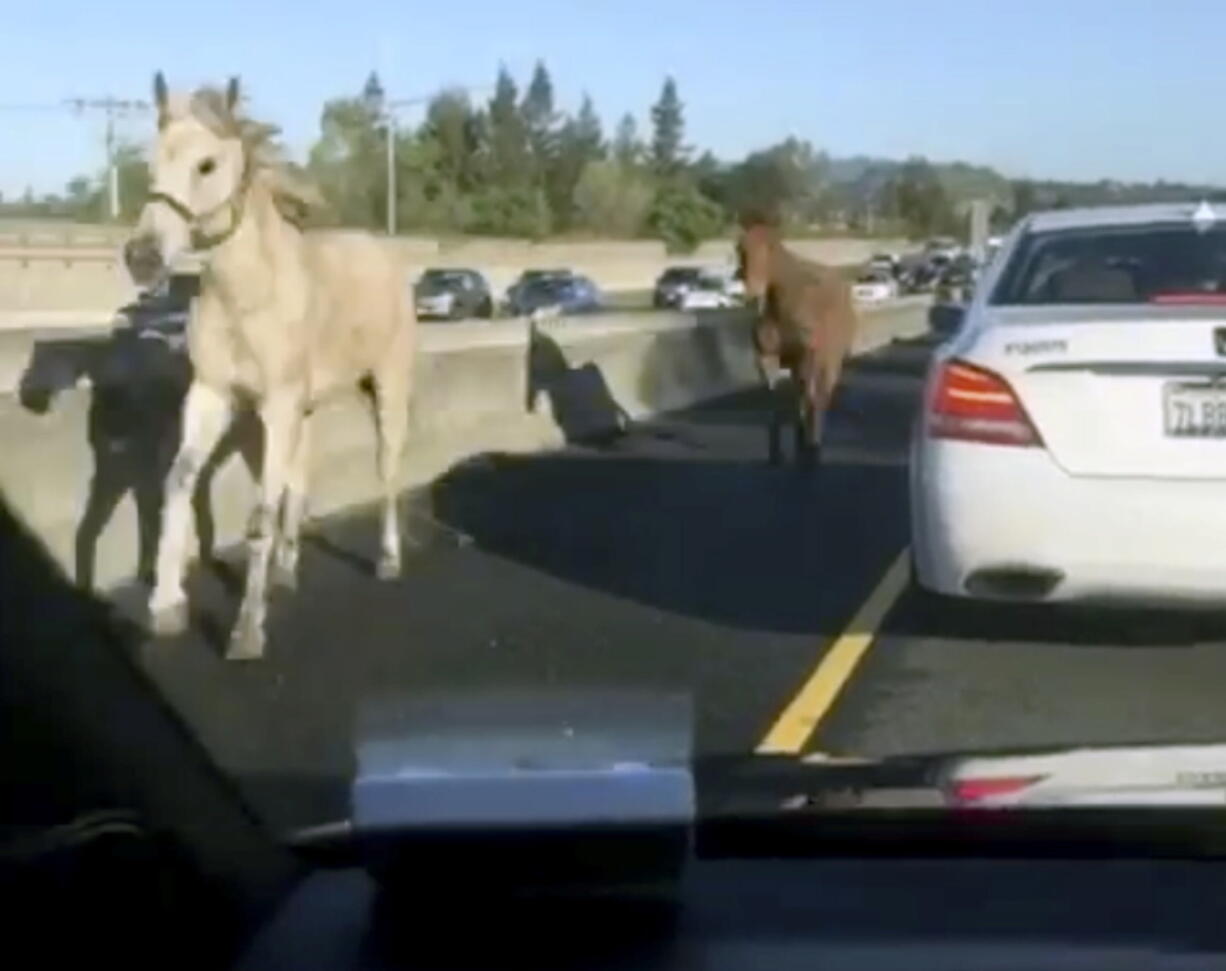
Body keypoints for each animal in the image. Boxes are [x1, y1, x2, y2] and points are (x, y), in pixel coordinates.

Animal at [125, 72, 416, 657]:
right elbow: (180, 482)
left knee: (387, 472)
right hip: (304, 411)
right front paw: (166, 606)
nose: (141, 258)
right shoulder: (214, 395)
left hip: (387, 388)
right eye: (152, 162)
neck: (248, 294)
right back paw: (285, 569)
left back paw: (387, 559)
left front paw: (246, 632)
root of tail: (386, 256)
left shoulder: (278, 406)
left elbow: (259, 513)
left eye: (207, 165)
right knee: (298, 480)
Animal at [735, 215, 853, 465]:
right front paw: (776, 453)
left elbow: (808, 399)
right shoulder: (767, 358)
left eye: (771, 247)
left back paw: (813, 446)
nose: (753, 292)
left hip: (829, 361)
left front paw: (808, 451)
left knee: (820, 397)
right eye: (740, 248)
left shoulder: (807, 355)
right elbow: (773, 402)